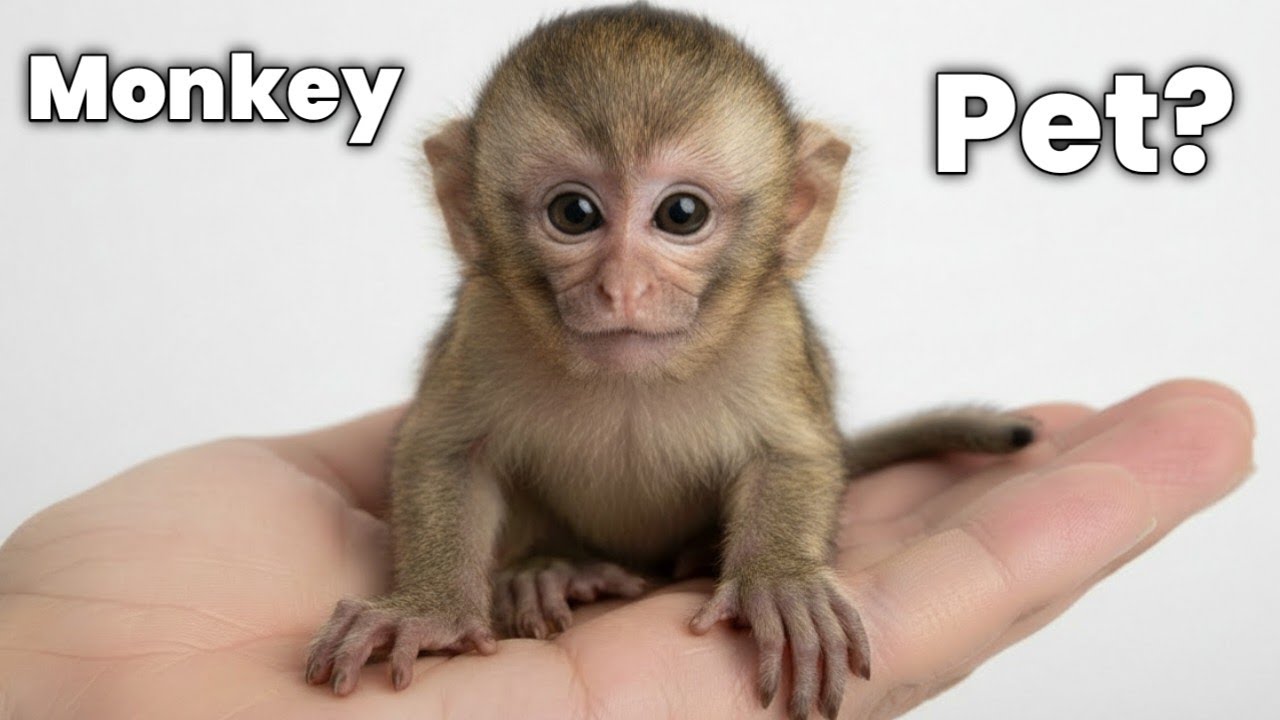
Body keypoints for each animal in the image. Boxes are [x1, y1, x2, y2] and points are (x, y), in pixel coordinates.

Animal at [303, 5, 1035, 719]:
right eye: (575, 213)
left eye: (681, 213)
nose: (624, 287)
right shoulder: (485, 325)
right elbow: (446, 450)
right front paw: (429, 610)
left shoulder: (770, 334)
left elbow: (790, 452)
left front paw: (778, 582)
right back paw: (550, 569)